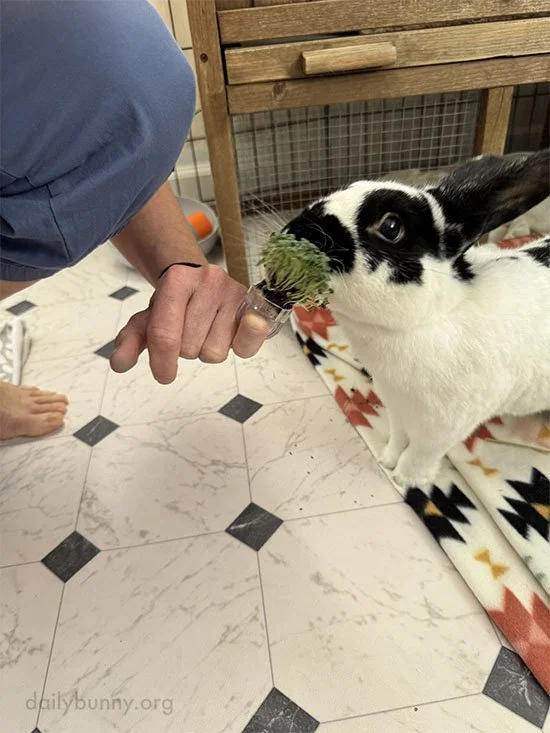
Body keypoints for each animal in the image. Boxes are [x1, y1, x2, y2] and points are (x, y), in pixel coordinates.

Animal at [284, 149, 550, 490]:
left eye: (391, 226)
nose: (294, 233)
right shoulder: (396, 407)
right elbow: (399, 437)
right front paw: (387, 460)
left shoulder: (444, 427)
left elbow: (421, 452)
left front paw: (406, 479)